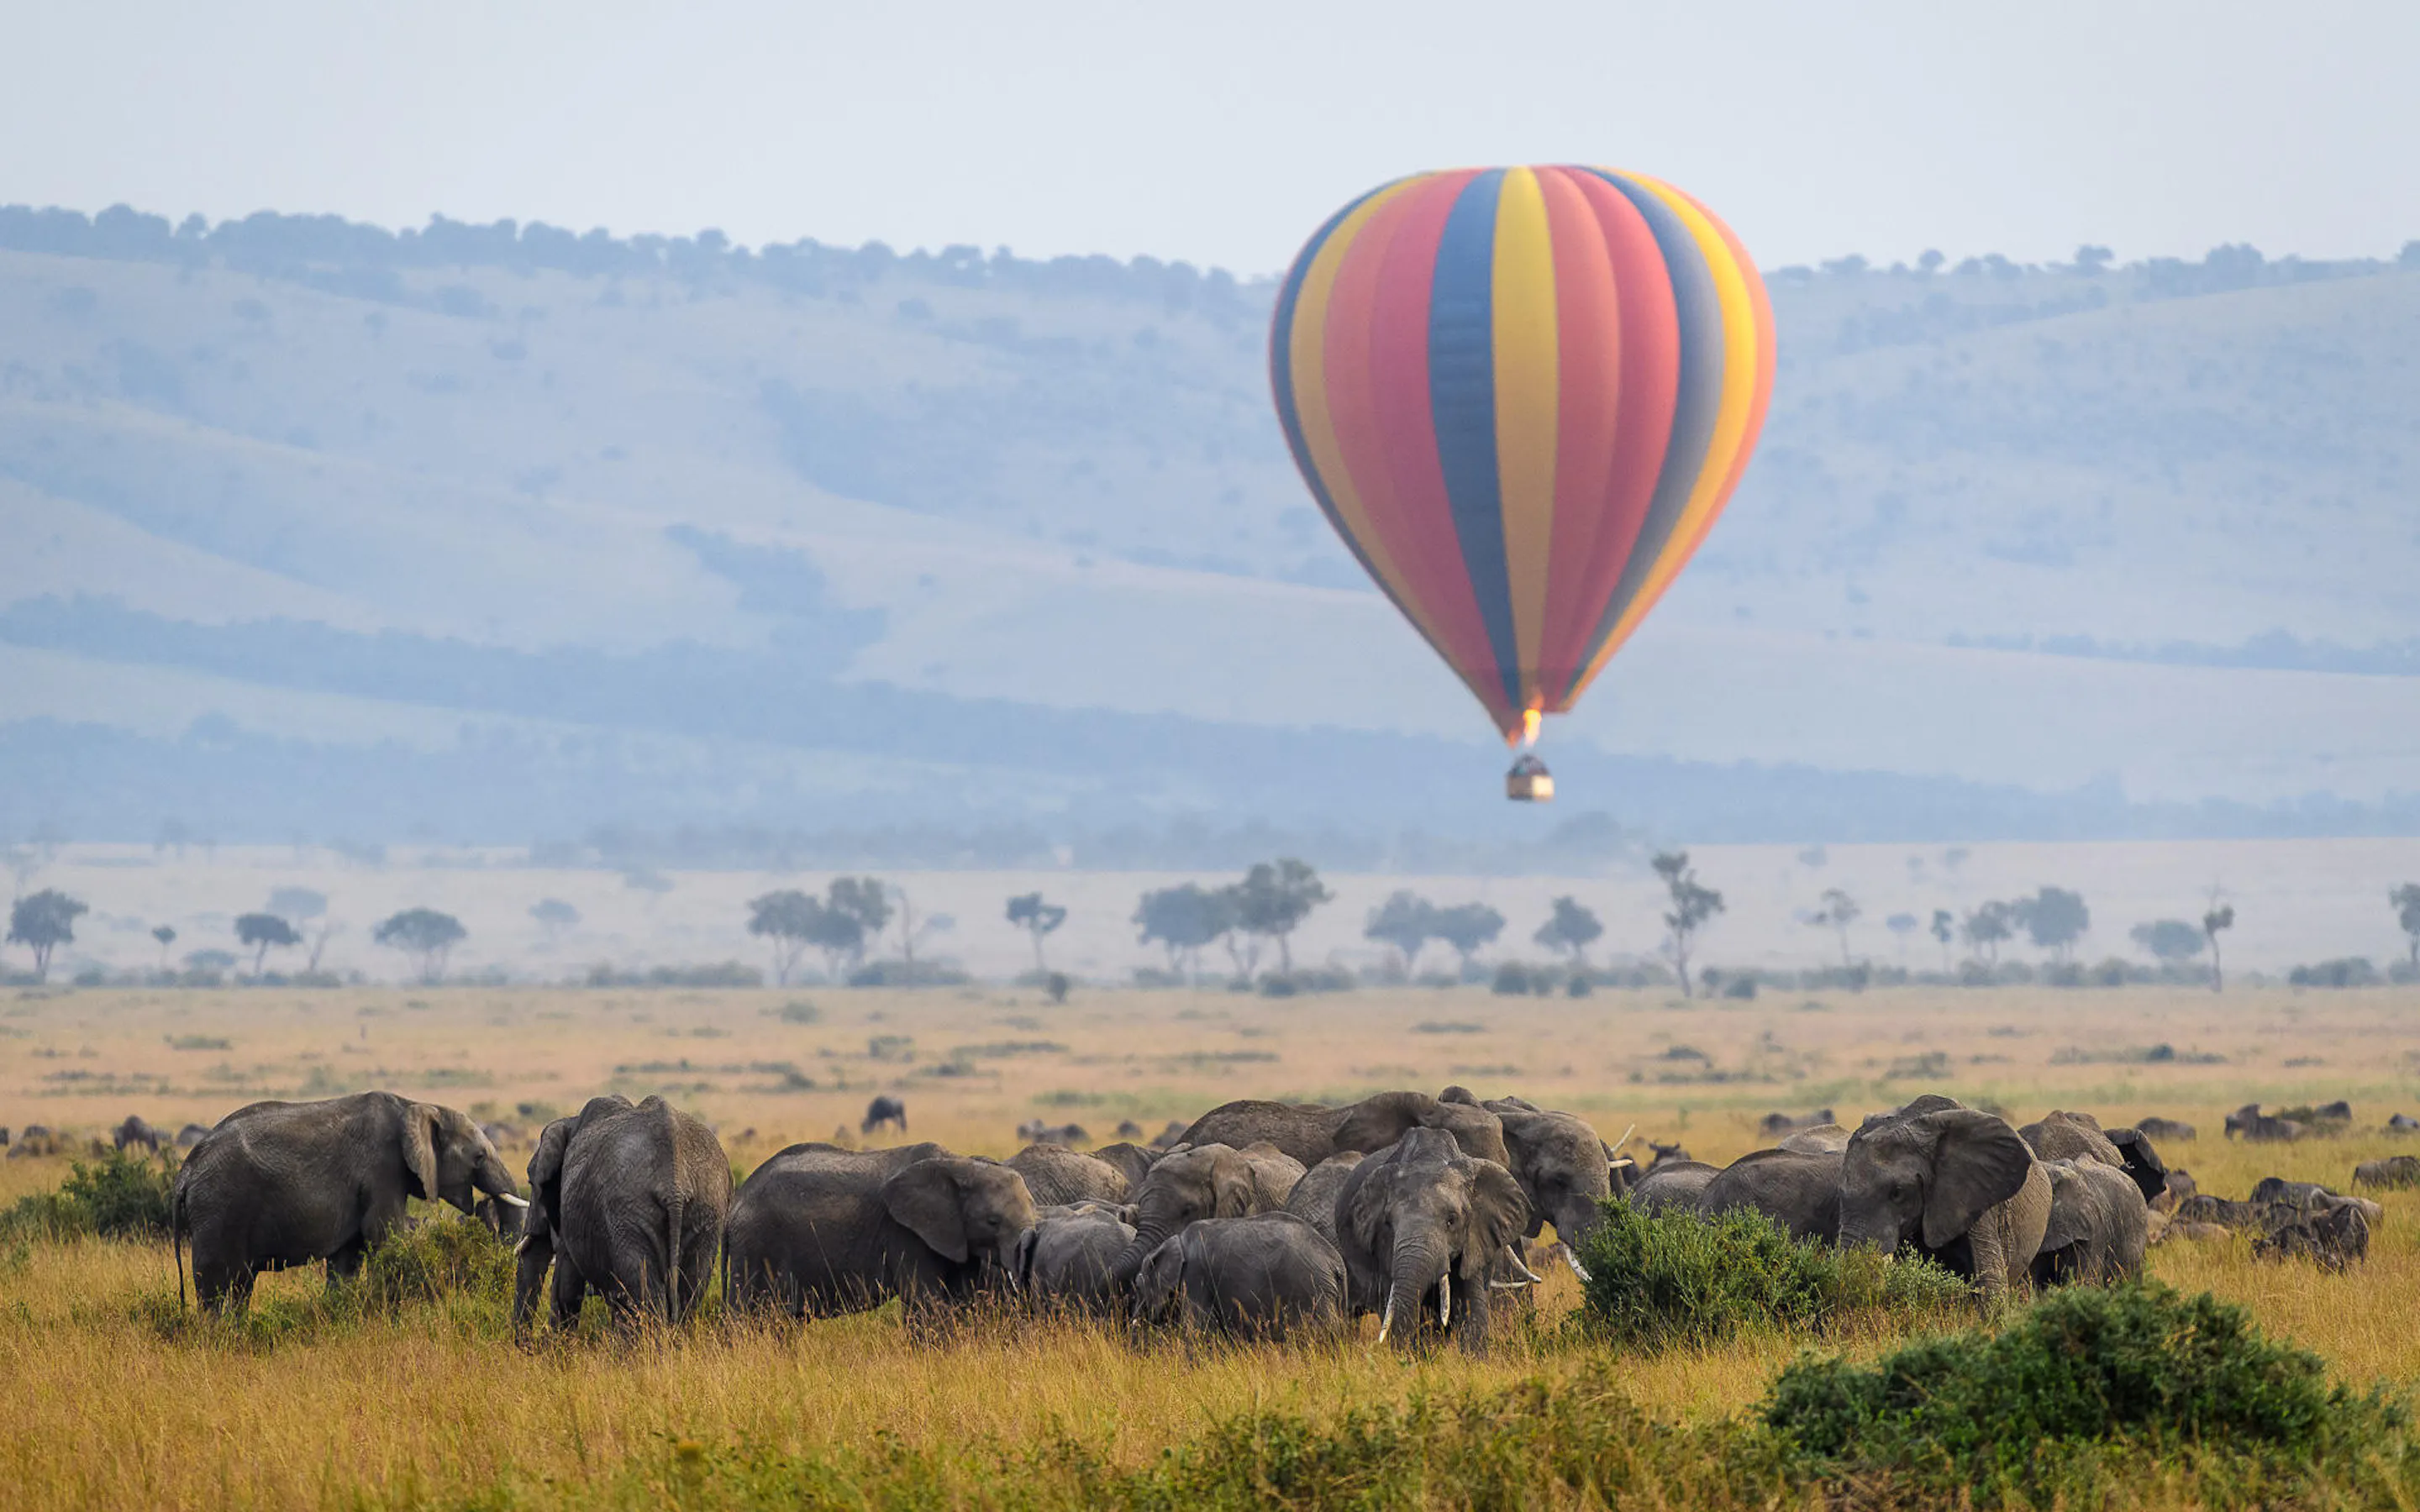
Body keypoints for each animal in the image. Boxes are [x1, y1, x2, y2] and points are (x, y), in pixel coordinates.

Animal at [172, 1091, 525, 1314]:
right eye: (478, 1157)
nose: (483, 1204)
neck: (415, 1105)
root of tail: (185, 1172)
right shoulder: (382, 1168)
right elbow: (384, 1236)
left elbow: (347, 1257)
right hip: (218, 1207)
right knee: (216, 1283)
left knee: (241, 1284)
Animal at [512, 1095, 730, 1332]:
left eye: (531, 1182)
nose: (527, 1341)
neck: (571, 1121)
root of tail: (674, 1183)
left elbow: (566, 1288)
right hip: (706, 1210)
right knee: (688, 1293)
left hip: (629, 1215)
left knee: (647, 1297)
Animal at [723, 1143, 1037, 1316]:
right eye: (993, 1222)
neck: (962, 1164)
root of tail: (735, 1203)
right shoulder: (906, 1233)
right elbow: (926, 1301)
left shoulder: (956, 1236)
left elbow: (962, 1298)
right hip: (756, 1245)